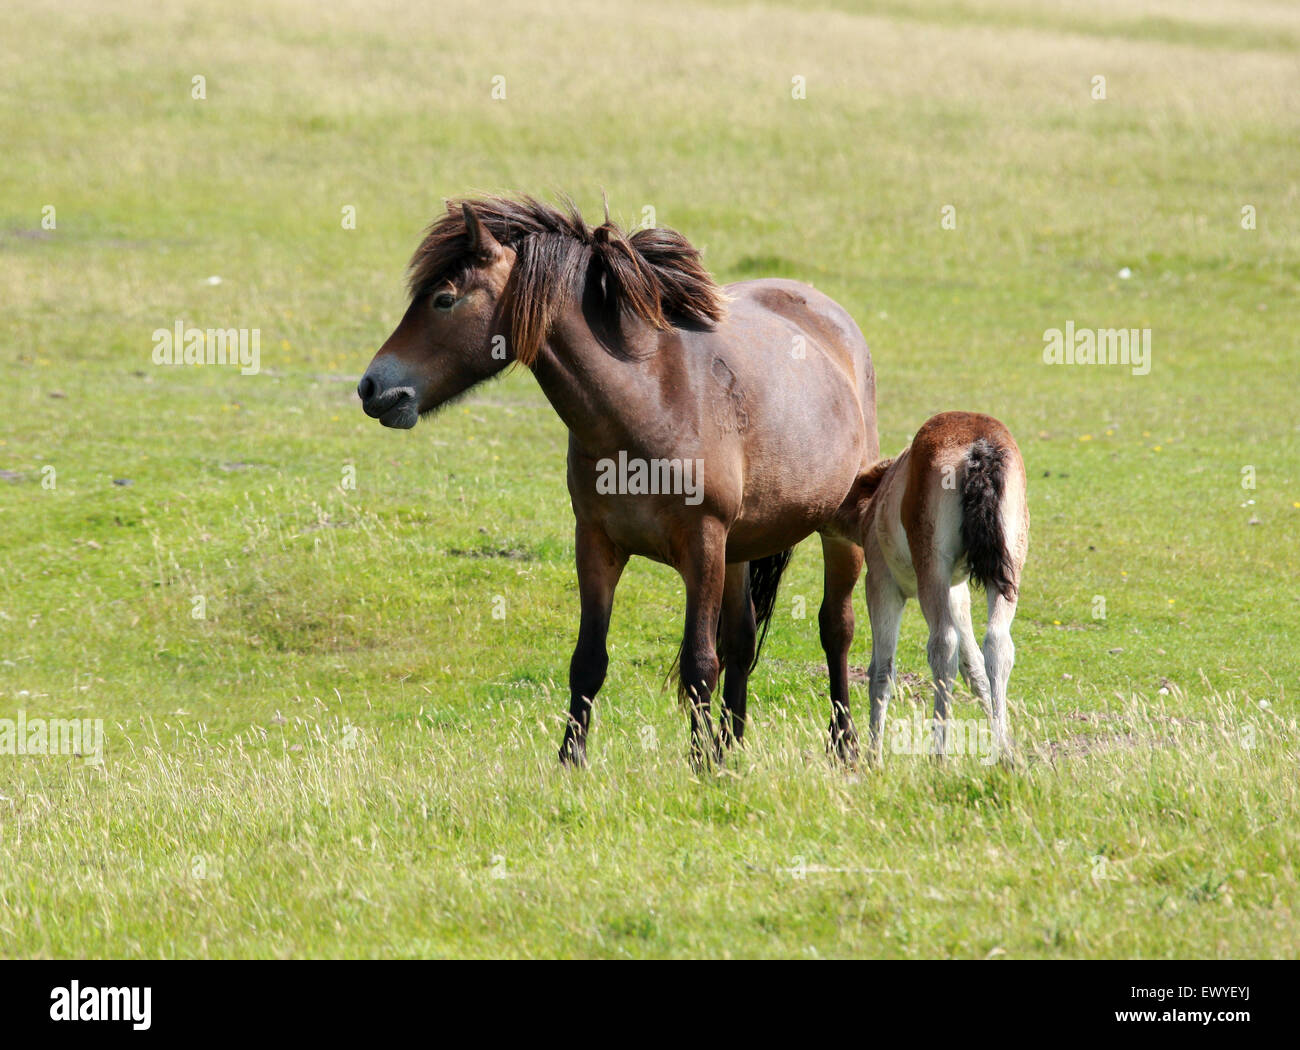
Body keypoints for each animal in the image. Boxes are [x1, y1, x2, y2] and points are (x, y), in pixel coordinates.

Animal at [361, 197, 878, 769]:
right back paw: (730, 745)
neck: (649, 400)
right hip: (740, 547)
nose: (371, 387)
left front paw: (700, 767)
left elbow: (700, 664)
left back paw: (844, 745)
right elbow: (588, 660)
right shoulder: (597, 543)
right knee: (743, 640)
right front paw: (572, 761)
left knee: (836, 631)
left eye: (444, 299)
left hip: (833, 533)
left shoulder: (703, 543)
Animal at [852, 413, 1024, 769]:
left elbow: (881, 671)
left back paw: (939, 755)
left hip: (930, 570)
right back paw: (1002, 752)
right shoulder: (957, 591)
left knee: (943, 644)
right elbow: (975, 669)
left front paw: (873, 756)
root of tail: (979, 445)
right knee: (997, 643)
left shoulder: (881, 585)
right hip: (1008, 567)